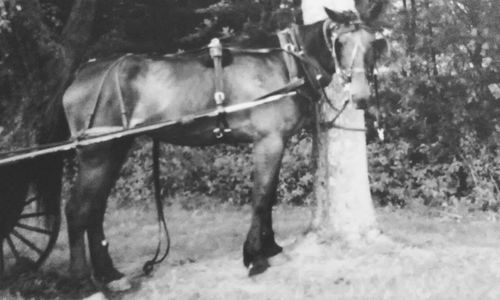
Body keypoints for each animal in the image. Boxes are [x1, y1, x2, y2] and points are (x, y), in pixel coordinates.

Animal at [30, 5, 386, 288]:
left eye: (373, 45)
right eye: (340, 42)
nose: (362, 96)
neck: (286, 62)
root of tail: (82, 74)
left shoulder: (276, 142)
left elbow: (269, 197)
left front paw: (270, 247)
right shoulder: (267, 141)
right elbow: (261, 197)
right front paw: (255, 258)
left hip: (116, 149)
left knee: (95, 208)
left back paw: (110, 274)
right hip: (97, 153)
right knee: (78, 209)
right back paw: (82, 280)